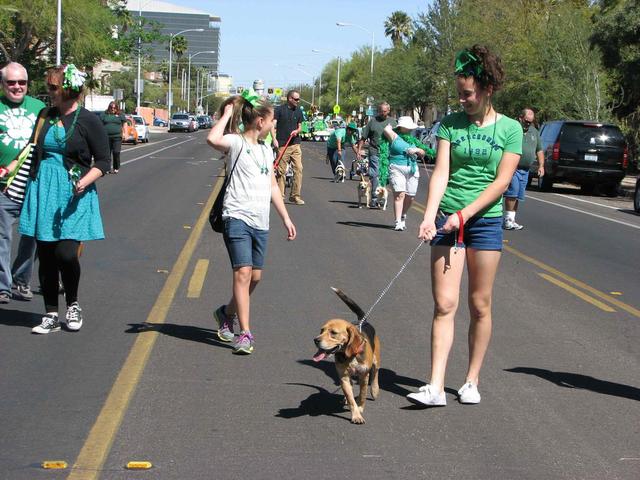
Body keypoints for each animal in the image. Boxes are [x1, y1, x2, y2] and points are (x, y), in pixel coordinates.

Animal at [314, 286, 380, 422]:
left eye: (333, 333)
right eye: (321, 330)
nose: (315, 340)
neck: (350, 356)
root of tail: (362, 321)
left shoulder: (364, 375)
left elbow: (362, 394)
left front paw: (360, 408)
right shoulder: (343, 377)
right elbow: (350, 397)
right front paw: (356, 414)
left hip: (376, 359)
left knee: (376, 372)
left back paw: (375, 390)